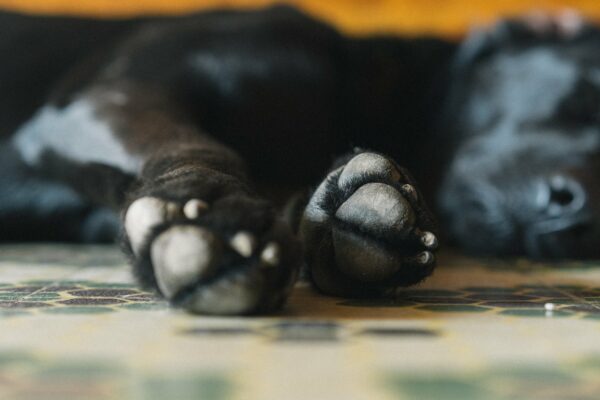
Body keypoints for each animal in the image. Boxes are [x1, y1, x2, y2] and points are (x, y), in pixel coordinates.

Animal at [1, 5, 600, 312]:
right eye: (588, 94)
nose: (581, 216)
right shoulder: (110, 97)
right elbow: (198, 148)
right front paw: (213, 210)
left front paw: (348, 219)